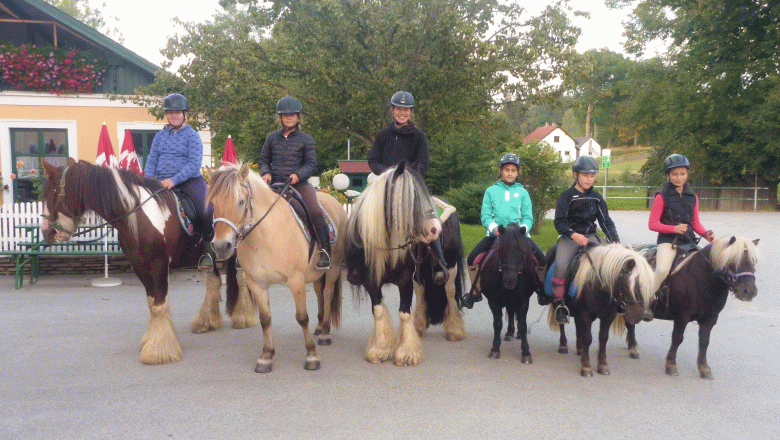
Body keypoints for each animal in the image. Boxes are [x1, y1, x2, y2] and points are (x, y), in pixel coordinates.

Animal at [42, 158, 258, 364]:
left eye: (53, 193)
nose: (46, 232)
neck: (139, 216)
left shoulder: (159, 264)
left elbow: (159, 303)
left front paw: (159, 351)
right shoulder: (140, 265)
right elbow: (152, 302)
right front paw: (155, 341)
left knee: (241, 279)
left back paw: (244, 317)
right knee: (213, 280)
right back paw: (206, 322)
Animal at [206, 163, 346, 372]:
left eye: (240, 202)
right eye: (213, 204)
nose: (222, 246)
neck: (266, 235)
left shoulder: (296, 280)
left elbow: (302, 317)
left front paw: (311, 355)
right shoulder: (257, 283)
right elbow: (265, 318)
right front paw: (266, 356)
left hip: (333, 268)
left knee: (327, 294)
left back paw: (325, 333)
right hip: (316, 274)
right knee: (319, 294)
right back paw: (321, 326)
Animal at [342, 163, 464, 366]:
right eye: (411, 197)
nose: (435, 229)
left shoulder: (405, 279)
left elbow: (404, 312)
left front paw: (407, 353)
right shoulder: (371, 280)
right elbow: (378, 311)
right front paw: (380, 349)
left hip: (451, 265)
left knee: (450, 291)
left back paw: (455, 330)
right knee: (422, 291)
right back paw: (419, 325)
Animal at [476, 222, 544, 362]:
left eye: (522, 250)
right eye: (500, 249)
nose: (509, 281)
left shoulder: (523, 300)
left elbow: (523, 325)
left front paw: (526, 352)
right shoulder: (493, 301)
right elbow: (497, 324)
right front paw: (495, 349)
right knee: (511, 312)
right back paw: (509, 333)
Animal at [628, 237, 760, 378]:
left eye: (754, 261)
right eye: (732, 260)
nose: (749, 291)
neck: (701, 279)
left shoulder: (710, 319)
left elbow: (704, 341)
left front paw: (704, 368)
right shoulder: (682, 317)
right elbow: (677, 338)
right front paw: (671, 364)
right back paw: (633, 349)